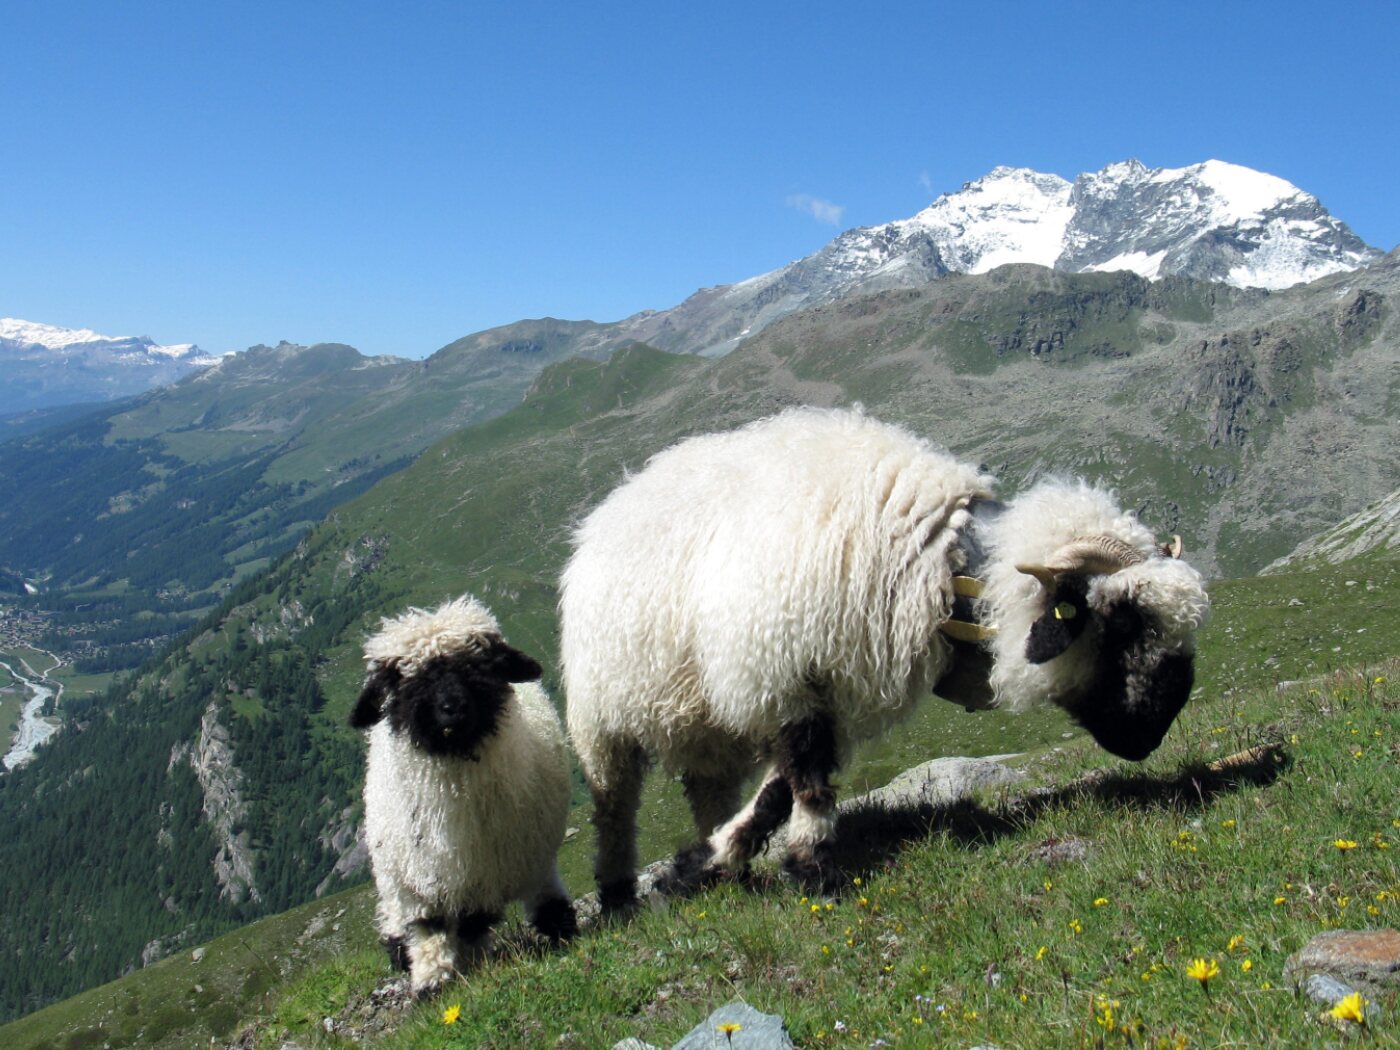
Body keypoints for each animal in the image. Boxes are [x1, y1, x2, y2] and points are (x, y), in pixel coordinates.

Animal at [351, 596, 577, 996]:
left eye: (479, 663)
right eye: (403, 678)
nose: (453, 708)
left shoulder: (492, 870)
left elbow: (475, 921)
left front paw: (473, 960)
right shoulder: (420, 879)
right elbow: (428, 928)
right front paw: (431, 979)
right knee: (397, 915)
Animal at [560, 407, 1208, 909]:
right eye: (1122, 619)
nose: (1156, 730)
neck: (940, 561)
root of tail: (618, 500)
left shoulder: (825, 688)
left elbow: (777, 791)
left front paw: (716, 858)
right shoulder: (786, 674)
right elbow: (807, 779)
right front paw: (814, 870)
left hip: (705, 725)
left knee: (707, 789)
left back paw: (721, 865)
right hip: (601, 717)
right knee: (614, 806)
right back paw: (617, 893)